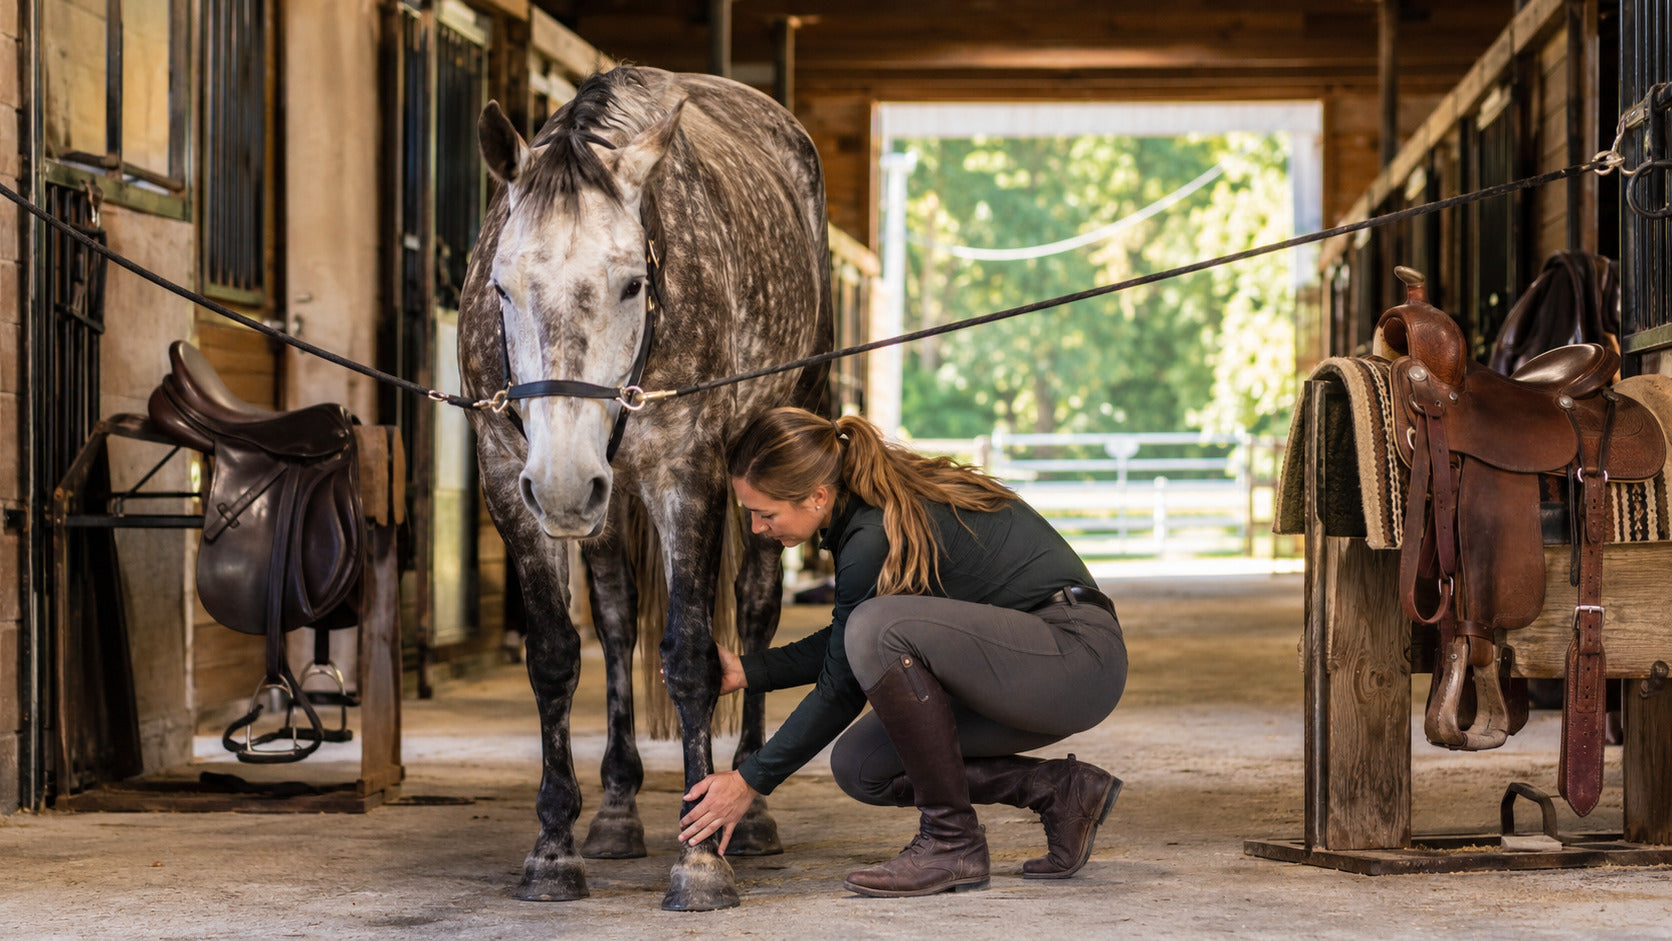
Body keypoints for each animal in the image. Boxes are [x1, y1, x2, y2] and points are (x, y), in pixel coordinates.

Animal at [458, 66, 832, 911]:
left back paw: (749, 815)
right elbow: (557, 655)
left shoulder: (685, 473)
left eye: (633, 284)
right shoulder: (509, 479)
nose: (564, 482)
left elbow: (692, 655)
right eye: (502, 286)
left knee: (755, 610)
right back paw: (618, 810)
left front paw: (699, 859)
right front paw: (555, 847)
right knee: (618, 620)